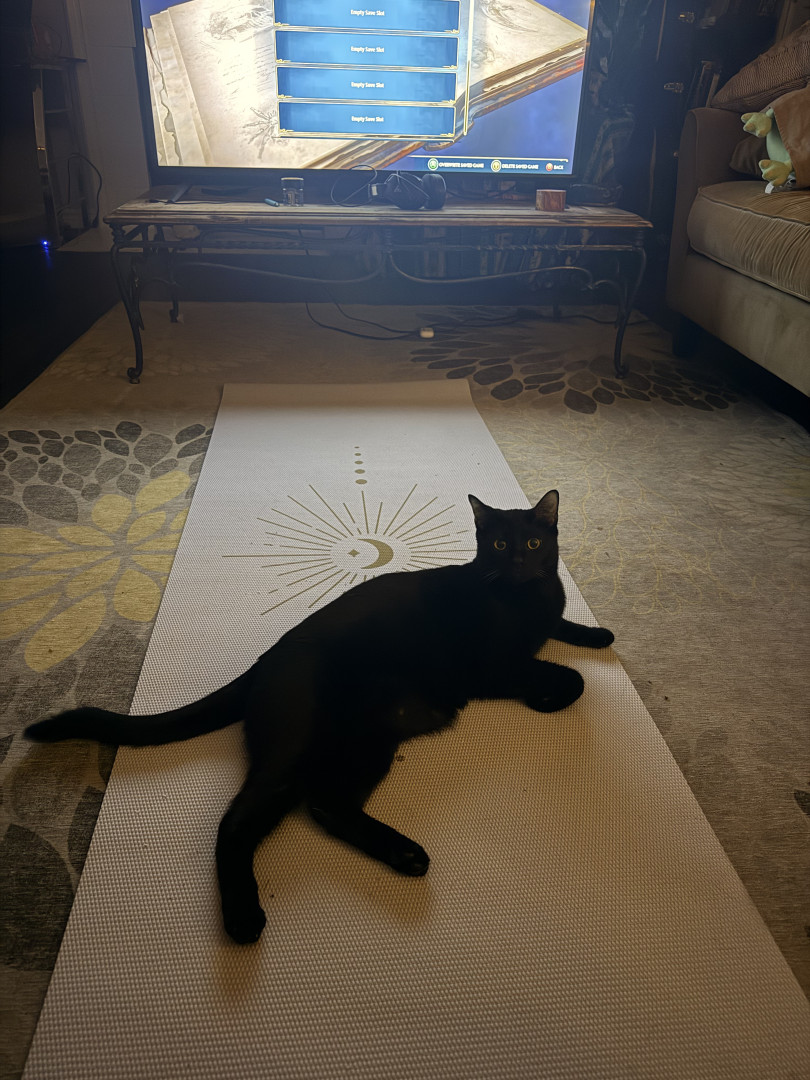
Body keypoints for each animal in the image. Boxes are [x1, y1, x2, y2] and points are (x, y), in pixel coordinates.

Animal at [26, 490, 613, 944]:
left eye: (533, 544)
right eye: (498, 544)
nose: (517, 564)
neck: (527, 595)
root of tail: (265, 662)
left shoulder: (541, 622)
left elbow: (562, 627)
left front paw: (597, 634)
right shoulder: (494, 666)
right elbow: (565, 677)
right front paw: (549, 695)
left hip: (369, 740)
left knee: (328, 805)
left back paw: (405, 855)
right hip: (298, 748)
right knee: (237, 821)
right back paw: (243, 919)